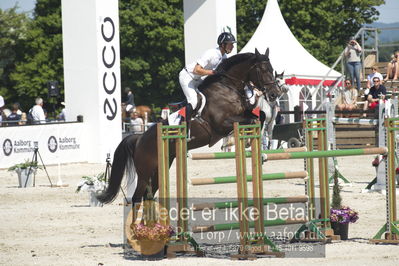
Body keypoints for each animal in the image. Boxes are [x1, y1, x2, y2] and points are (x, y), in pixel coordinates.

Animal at [97, 47, 284, 206]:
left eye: (272, 69)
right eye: (263, 70)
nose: (275, 94)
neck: (228, 87)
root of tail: (139, 139)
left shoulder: (244, 113)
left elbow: (260, 116)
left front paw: (260, 151)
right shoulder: (221, 124)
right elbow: (250, 121)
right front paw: (249, 145)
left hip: (161, 168)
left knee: (147, 196)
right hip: (145, 172)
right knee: (137, 198)